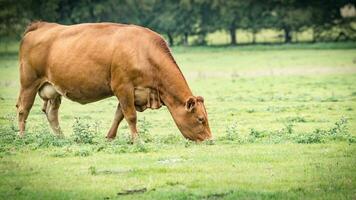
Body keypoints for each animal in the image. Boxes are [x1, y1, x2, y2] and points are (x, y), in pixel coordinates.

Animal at [16, 21, 211, 141]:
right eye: (200, 119)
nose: (210, 139)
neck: (144, 53)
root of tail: (41, 26)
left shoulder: (131, 92)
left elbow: (119, 115)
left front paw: (109, 137)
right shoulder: (123, 87)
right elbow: (130, 116)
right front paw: (137, 140)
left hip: (53, 89)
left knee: (51, 112)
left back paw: (61, 138)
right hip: (29, 84)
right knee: (23, 109)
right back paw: (22, 137)